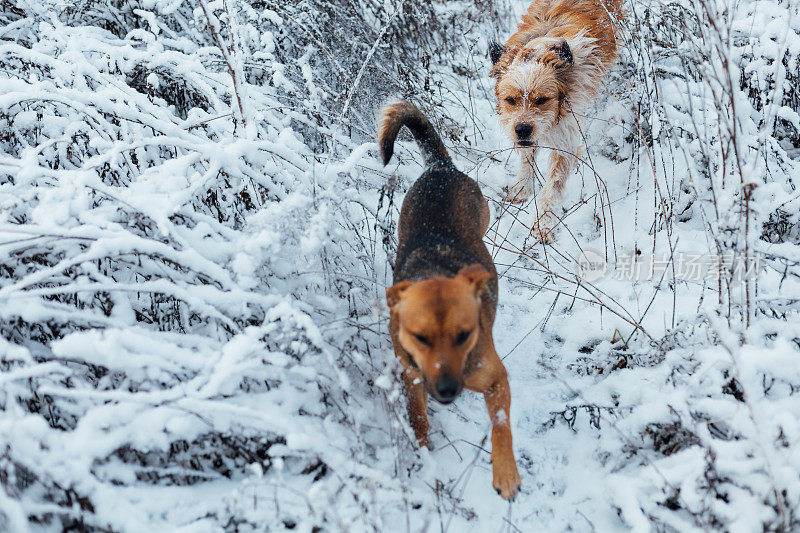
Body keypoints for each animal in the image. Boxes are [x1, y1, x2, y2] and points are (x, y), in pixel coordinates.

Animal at [380, 100, 520, 498]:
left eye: (464, 335)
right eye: (420, 337)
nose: (446, 390)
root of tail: (440, 168)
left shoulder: (496, 378)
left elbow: (501, 424)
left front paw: (506, 470)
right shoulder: (412, 377)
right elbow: (418, 420)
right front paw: (422, 456)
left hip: (481, 213)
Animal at [488, 0, 624, 243]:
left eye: (542, 99)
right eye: (510, 100)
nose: (523, 129)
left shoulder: (565, 135)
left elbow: (553, 186)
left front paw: (543, 224)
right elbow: (527, 158)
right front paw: (523, 187)